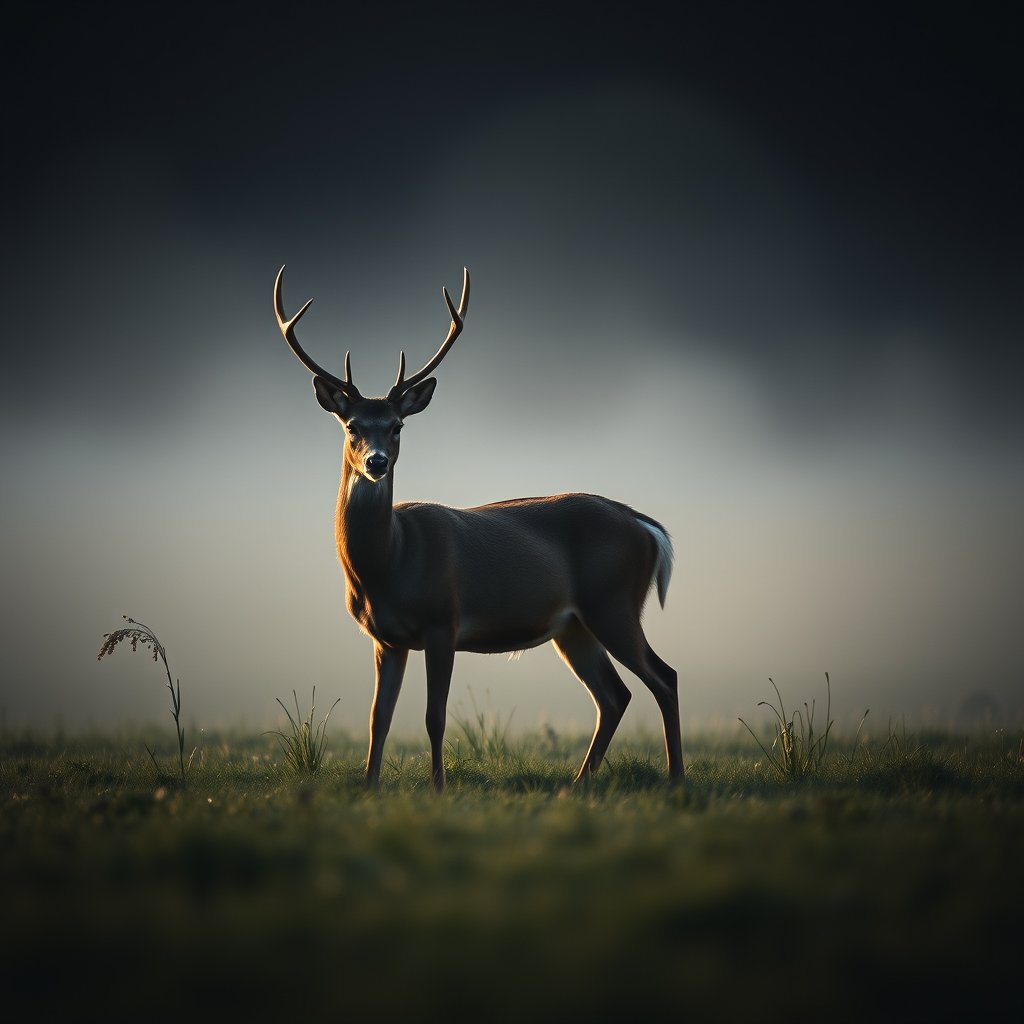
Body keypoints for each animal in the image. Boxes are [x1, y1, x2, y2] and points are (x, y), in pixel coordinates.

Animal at [274, 265, 683, 791]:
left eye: (397, 425)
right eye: (351, 426)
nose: (376, 462)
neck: (388, 561)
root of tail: (644, 524)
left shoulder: (441, 621)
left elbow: (434, 716)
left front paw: (438, 788)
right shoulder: (386, 638)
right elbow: (377, 718)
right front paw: (369, 786)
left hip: (613, 602)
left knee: (664, 677)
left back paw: (675, 779)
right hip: (573, 625)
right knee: (614, 696)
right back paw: (577, 784)